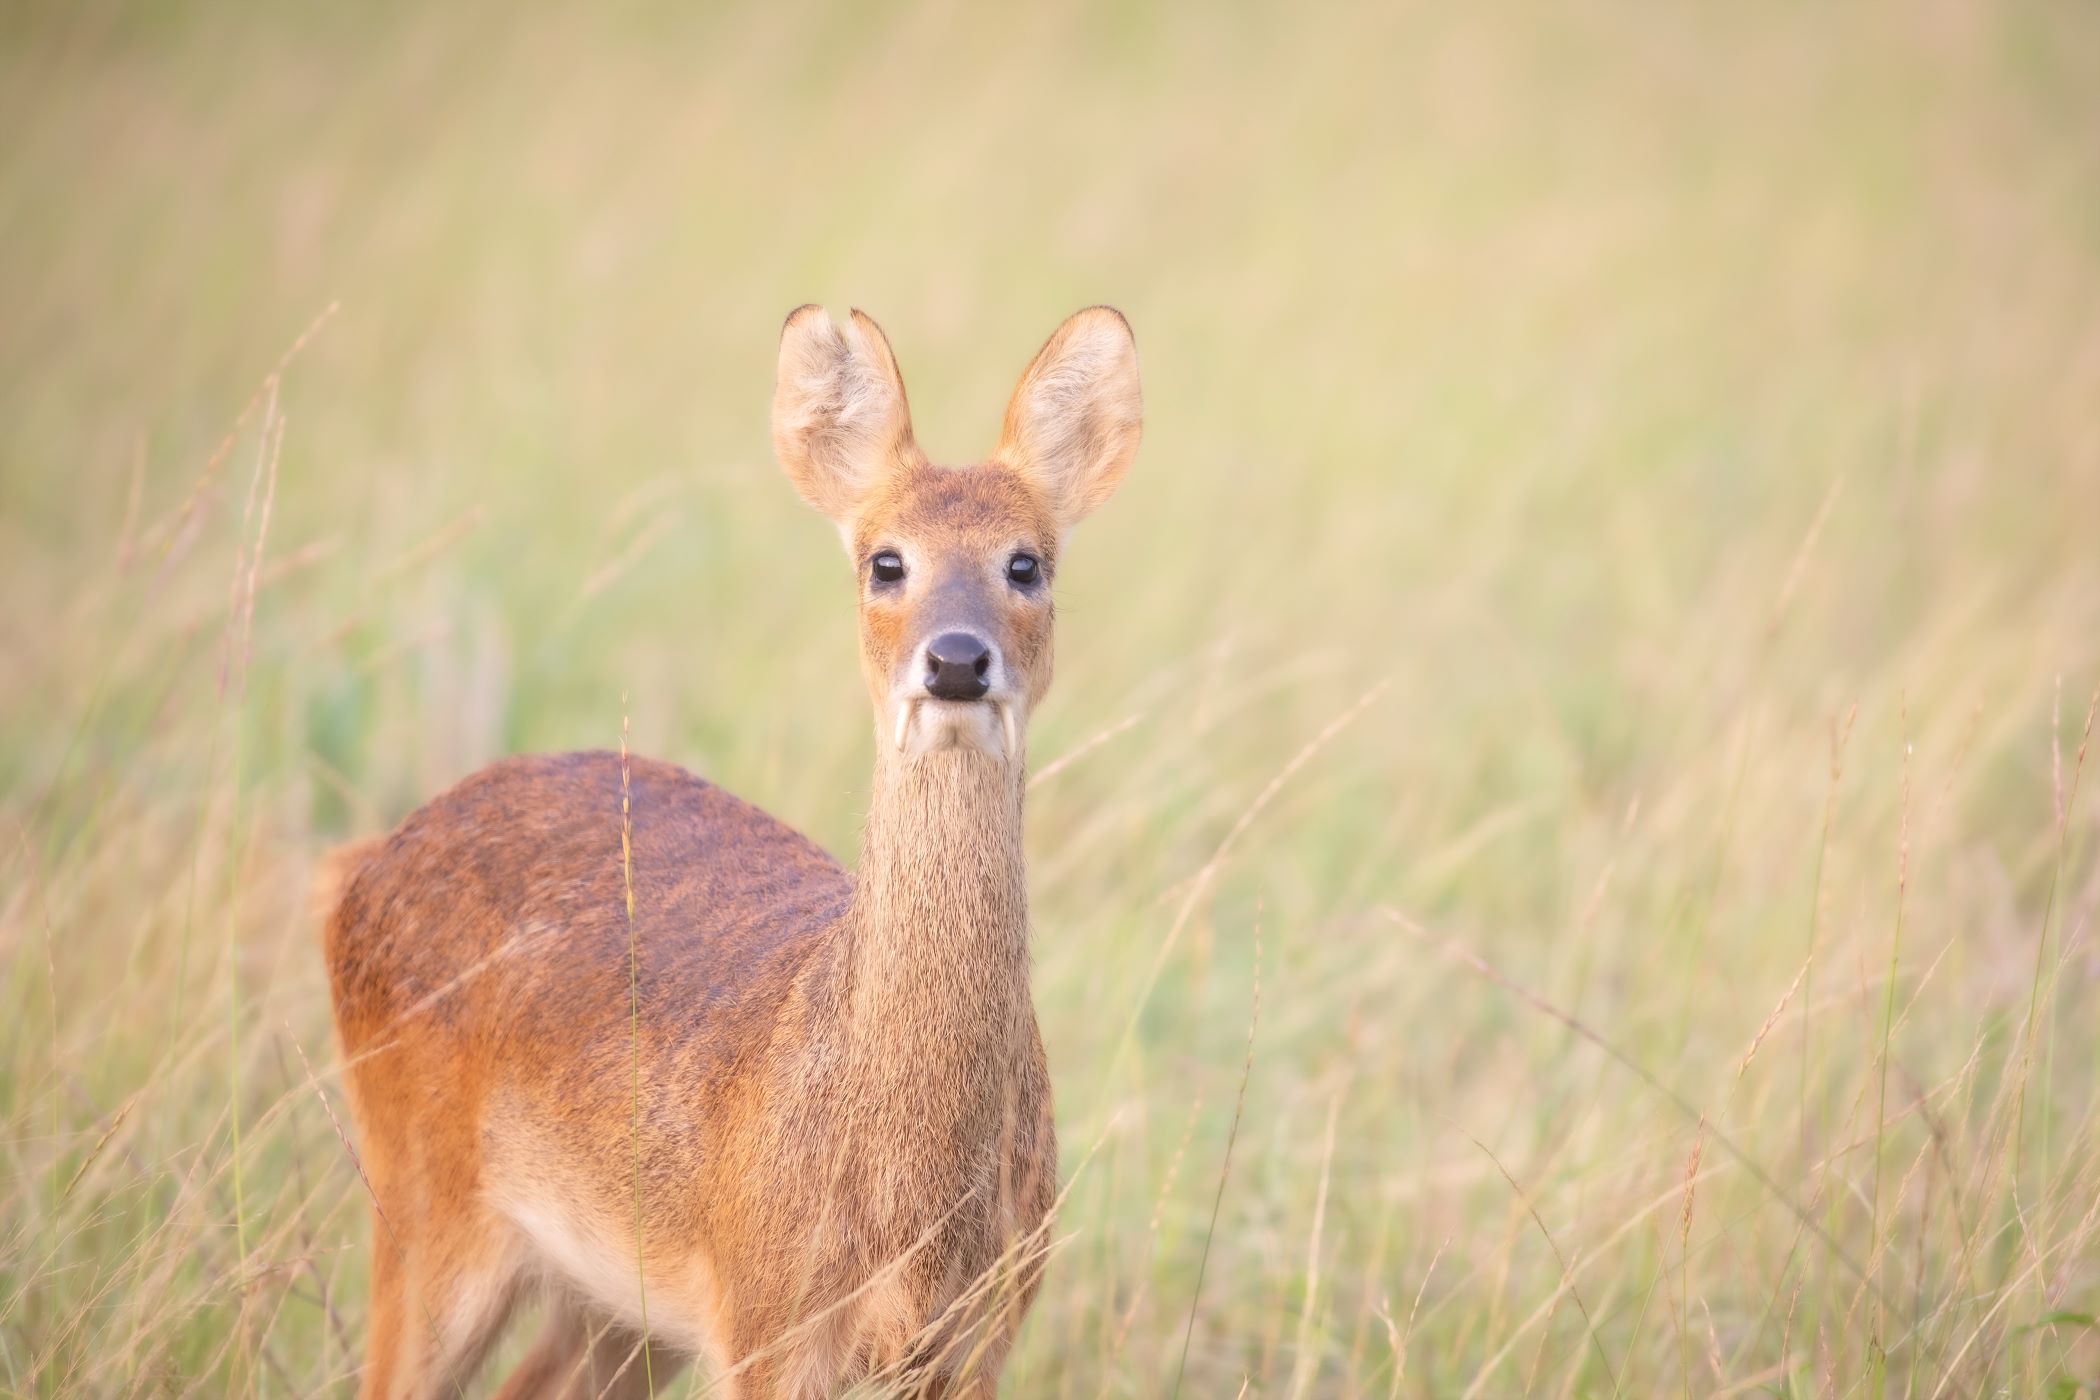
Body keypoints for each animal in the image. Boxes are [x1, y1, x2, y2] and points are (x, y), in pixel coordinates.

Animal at [323, 308, 1150, 1400]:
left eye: (1028, 562)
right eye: (885, 561)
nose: (958, 659)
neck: (910, 1201)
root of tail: (359, 869)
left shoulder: (981, 1337)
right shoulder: (769, 1328)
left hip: (612, 1305)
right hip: (424, 1207)